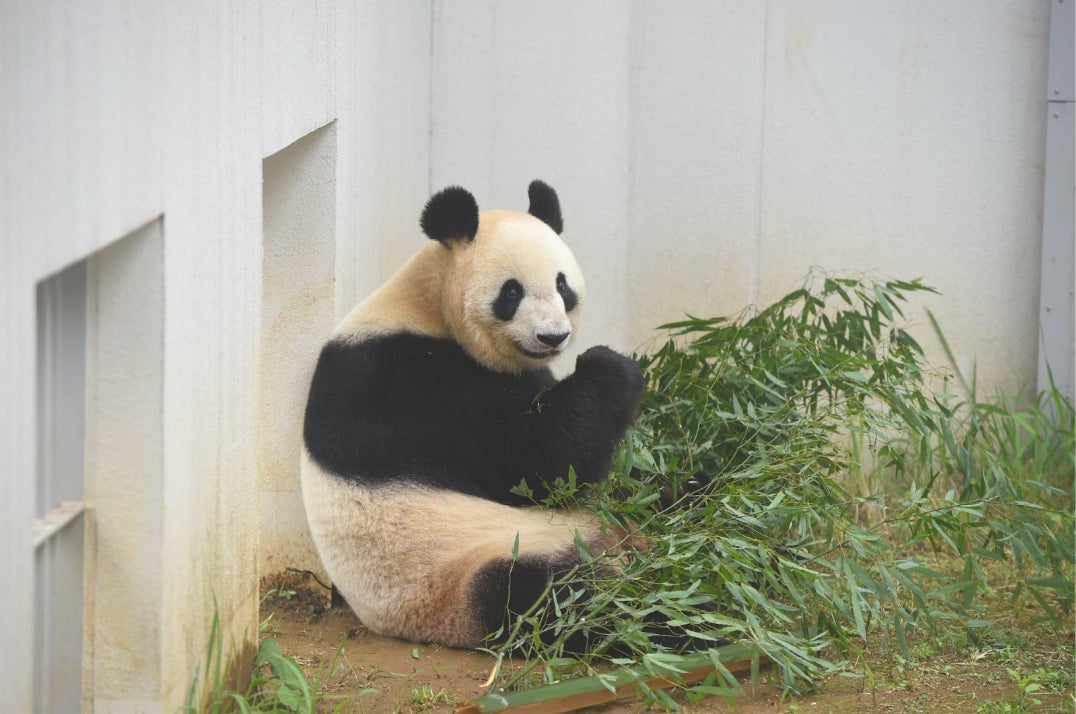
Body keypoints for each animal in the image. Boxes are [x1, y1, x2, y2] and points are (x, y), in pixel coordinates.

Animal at [299, 178, 641, 645]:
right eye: (511, 291)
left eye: (562, 285)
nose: (553, 337)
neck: (426, 306)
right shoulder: (407, 385)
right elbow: (534, 463)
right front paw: (610, 365)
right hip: (469, 568)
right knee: (557, 600)